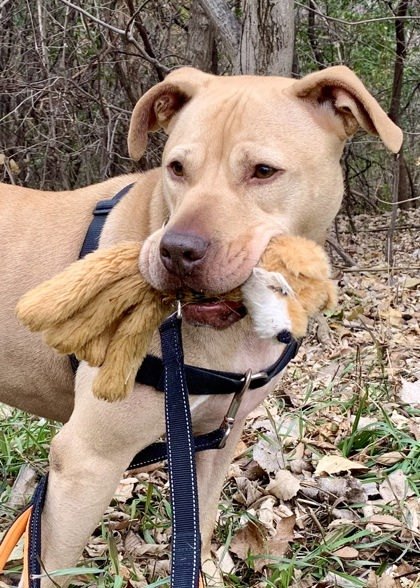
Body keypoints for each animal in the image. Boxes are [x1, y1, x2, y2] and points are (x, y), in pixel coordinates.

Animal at [0, 66, 402, 584]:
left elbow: (202, 521)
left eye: (263, 171)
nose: (175, 251)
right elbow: (52, 570)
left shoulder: (215, 442)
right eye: (176, 168)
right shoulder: (86, 461)